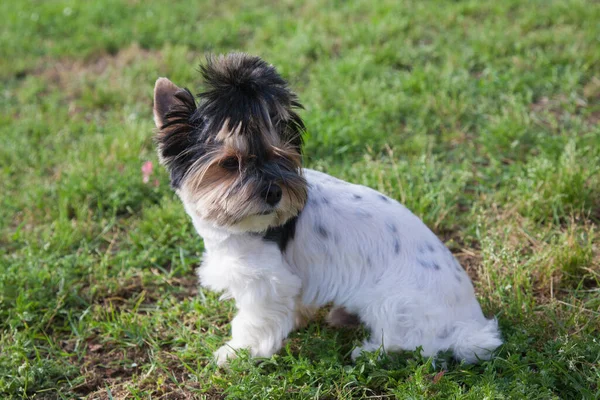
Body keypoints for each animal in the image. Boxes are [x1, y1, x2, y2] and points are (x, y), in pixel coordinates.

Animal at [151, 52, 502, 366]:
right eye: (228, 163)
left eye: (280, 156)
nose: (274, 192)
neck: (241, 227)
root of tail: (471, 327)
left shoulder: (265, 283)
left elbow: (252, 322)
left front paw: (237, 353)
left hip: (395, 303)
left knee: (409, 342)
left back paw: (368, 351)